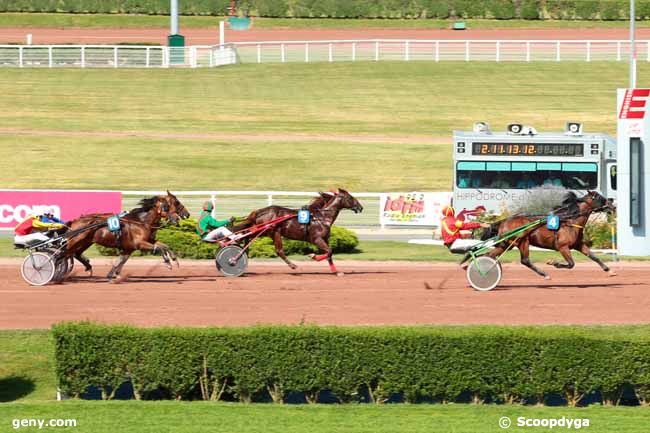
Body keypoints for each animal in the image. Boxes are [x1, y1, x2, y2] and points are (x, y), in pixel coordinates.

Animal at [232, 187, 362, 276]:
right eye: (350, 197)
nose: (360, 207)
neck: (322, 217)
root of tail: (259, 211)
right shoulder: (317, 239)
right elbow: (329, 251)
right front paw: (313, 256)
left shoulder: (325, 239)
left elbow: (330, 254)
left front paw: (336, 272)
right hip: (272, 231)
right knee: (278, 250)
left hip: (263, 231)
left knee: (246, 236)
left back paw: (244, 254)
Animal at [484, 190, 616, 278]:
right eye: (599, 197)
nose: (613, 206)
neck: (570, 221)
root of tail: (504, 221)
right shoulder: (563, 247)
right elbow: (571, 264)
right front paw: (553, 263)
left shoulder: (578, 245)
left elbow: (594, 256)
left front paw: (609, 270)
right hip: (522, 241)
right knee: (525, 260)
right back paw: (545, 274)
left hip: (506, 244)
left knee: (489, 255)